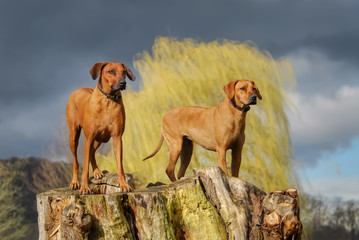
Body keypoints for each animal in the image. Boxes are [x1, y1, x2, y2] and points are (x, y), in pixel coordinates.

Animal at [66, 62, 135, 193]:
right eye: (111, 71)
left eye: (124, 71)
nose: (123, 82)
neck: (108, 100)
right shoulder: (89, 138)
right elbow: (85, 169)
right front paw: (84, 187)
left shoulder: (117, 138)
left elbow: (120, 166)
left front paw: (124, 185)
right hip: (74, 136)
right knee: (76, 161)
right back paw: (74, 182)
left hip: (100, 139)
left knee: (92, 153)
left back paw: (97, 171)